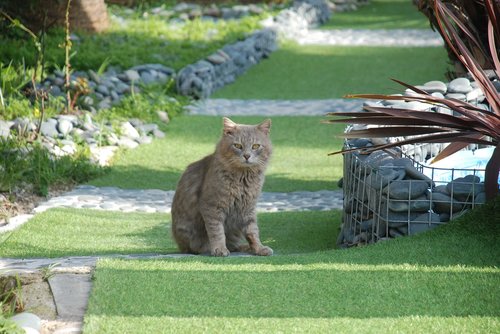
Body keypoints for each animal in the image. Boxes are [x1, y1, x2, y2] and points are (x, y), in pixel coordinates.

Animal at [172, 116, 274, 258]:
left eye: (255, 146)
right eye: (237, 145)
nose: (247, 156)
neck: (243, 178)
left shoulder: (249, 207)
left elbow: (252, 231)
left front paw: (258, 248)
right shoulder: (212, 206)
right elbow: (217, 232)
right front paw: (219, 249)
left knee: (234, 245)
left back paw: (245, 248)